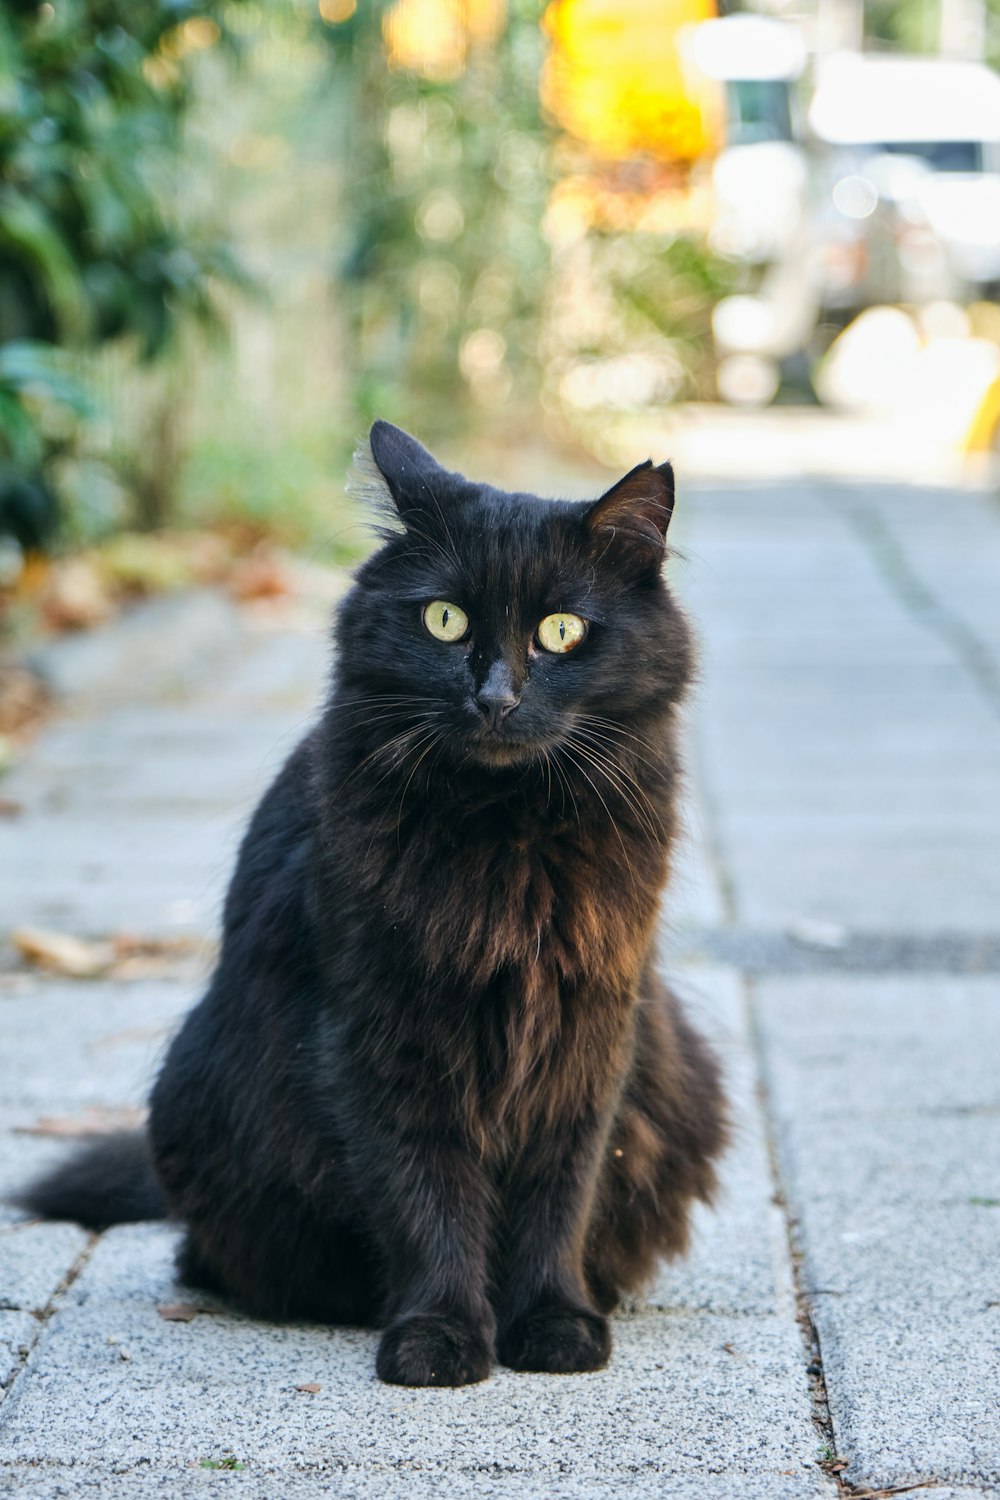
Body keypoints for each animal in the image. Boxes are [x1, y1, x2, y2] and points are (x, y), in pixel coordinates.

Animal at [19, 423, 728, 1380]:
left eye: (562, 631)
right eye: (444, 620)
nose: (495, 696)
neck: (505, 837)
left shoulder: (590, 1036)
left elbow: (560, 1195)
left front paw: (553, 1322)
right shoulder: (379, 1030)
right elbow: (424, 1198)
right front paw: (440, 1337)